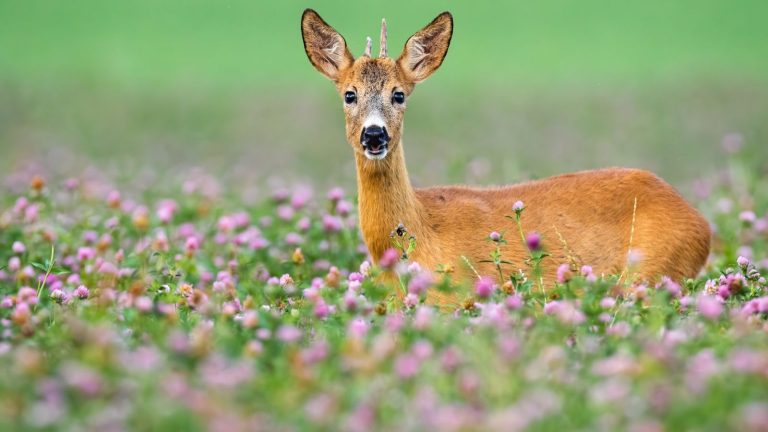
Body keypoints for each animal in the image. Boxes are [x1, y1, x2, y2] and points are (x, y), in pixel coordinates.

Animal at [300, 9, 711, 305]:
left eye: (398, 94)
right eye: (349, 94)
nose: (374, 134)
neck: (420, 232)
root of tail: (701, 223)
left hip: (652, 274)